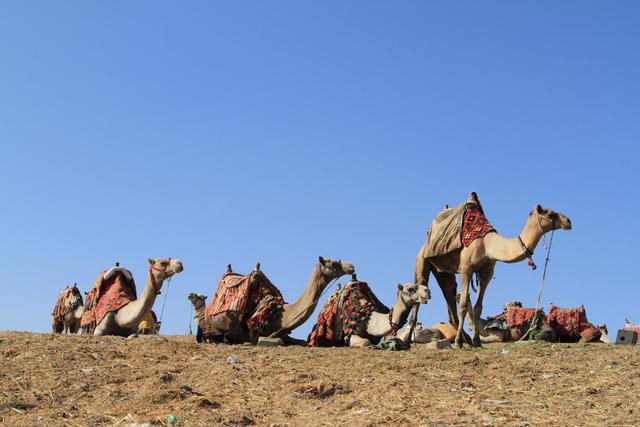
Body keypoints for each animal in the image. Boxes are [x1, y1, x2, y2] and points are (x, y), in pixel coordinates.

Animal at [418, 194, 572, 348]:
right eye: (550, 214)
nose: (568, 221)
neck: (488, 245)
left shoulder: (487, 272)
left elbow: (478, 307)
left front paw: (476, 342)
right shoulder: (466, 268)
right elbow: (463, 304)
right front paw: (457, 343)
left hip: (443, 271)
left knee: (448, 291)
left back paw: (465, 338)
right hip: (423, 257)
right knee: (421, 285)